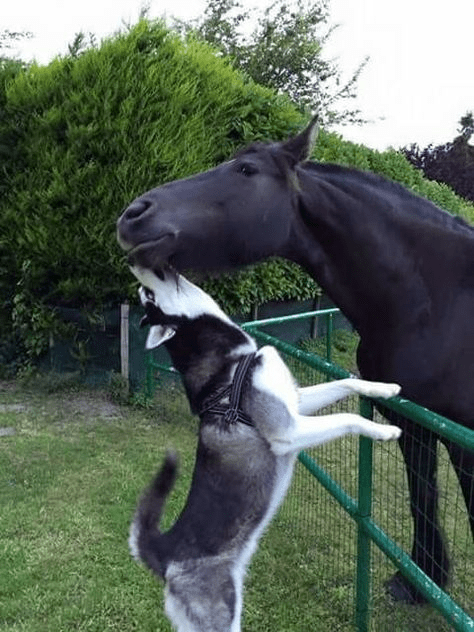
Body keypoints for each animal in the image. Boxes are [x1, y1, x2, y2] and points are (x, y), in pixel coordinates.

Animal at [129, 266, 400, 632]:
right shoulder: (287, 430)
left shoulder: (295, 403)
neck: (235, 360)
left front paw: (384, 387)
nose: (139, 283)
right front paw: (384, 430)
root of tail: (165, 552)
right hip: (223, 616)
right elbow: (349, 417)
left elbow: (347, 382)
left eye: (147, 297)